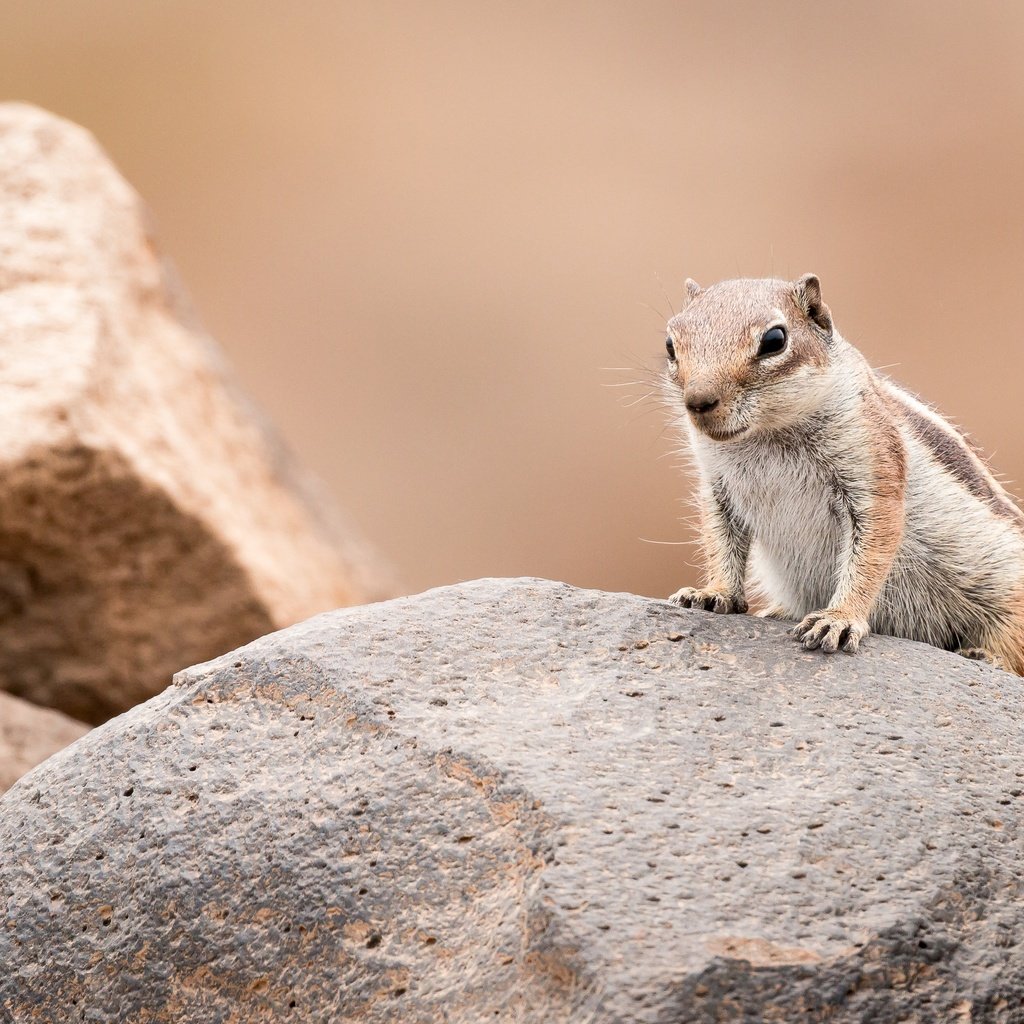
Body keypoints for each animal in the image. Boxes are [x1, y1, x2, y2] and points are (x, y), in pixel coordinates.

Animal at [663, 274, 1024, 671]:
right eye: (670, 344)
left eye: (775, 340)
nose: (698, 401)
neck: (769, 434)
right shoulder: (717, 488)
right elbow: (719, 539)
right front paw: (713, 592)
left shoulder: (873, 473)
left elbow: (869, 558)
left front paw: (838, 618)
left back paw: (984, 654)